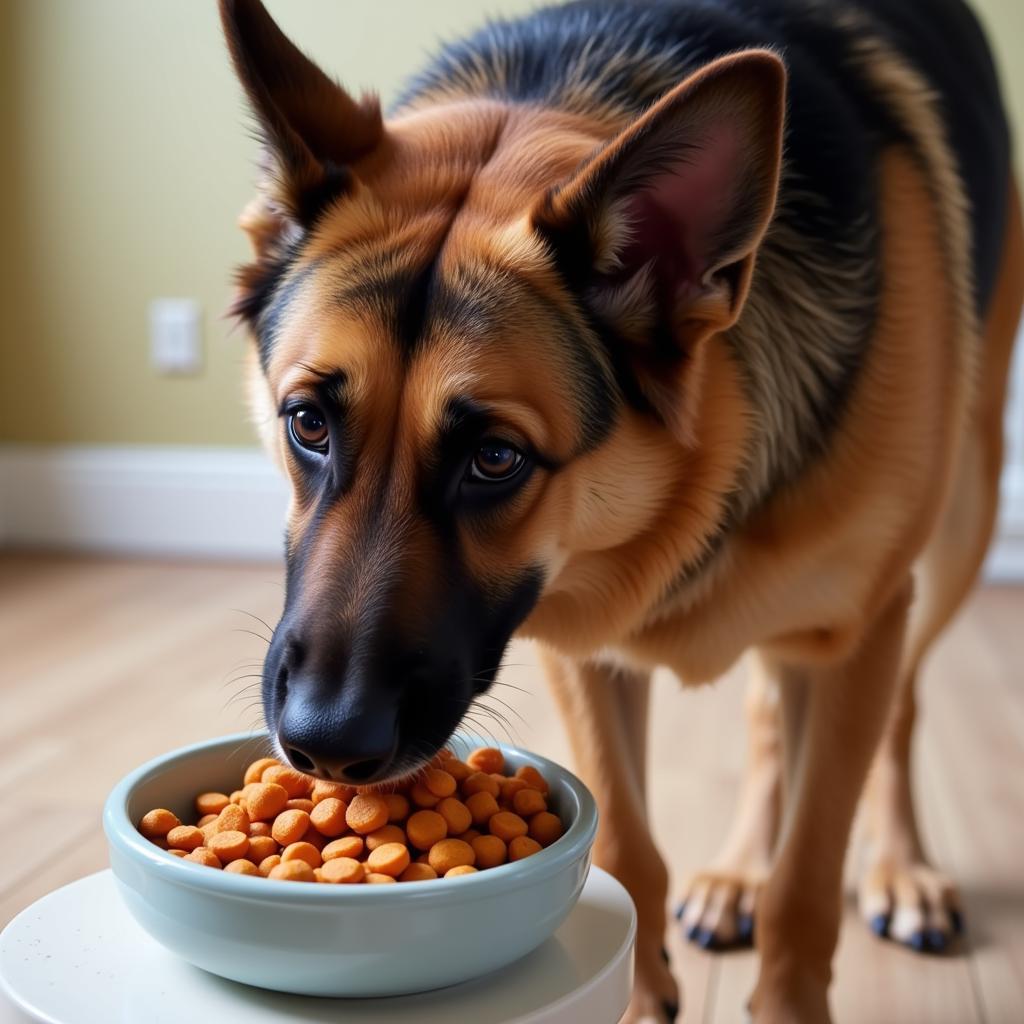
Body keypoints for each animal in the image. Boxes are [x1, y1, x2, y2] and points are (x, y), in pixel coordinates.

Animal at [216, 0, 1015, 1015]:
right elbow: (630, 845)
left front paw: (790, 989)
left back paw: (900, 869)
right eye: (308, 423)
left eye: (495, 458)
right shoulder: (582, 647)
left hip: (958, 525)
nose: (323, 748)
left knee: (900, 707)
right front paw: (637, 990)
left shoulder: (857, 635)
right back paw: (736, 874)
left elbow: (806, 879)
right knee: (770, 715)